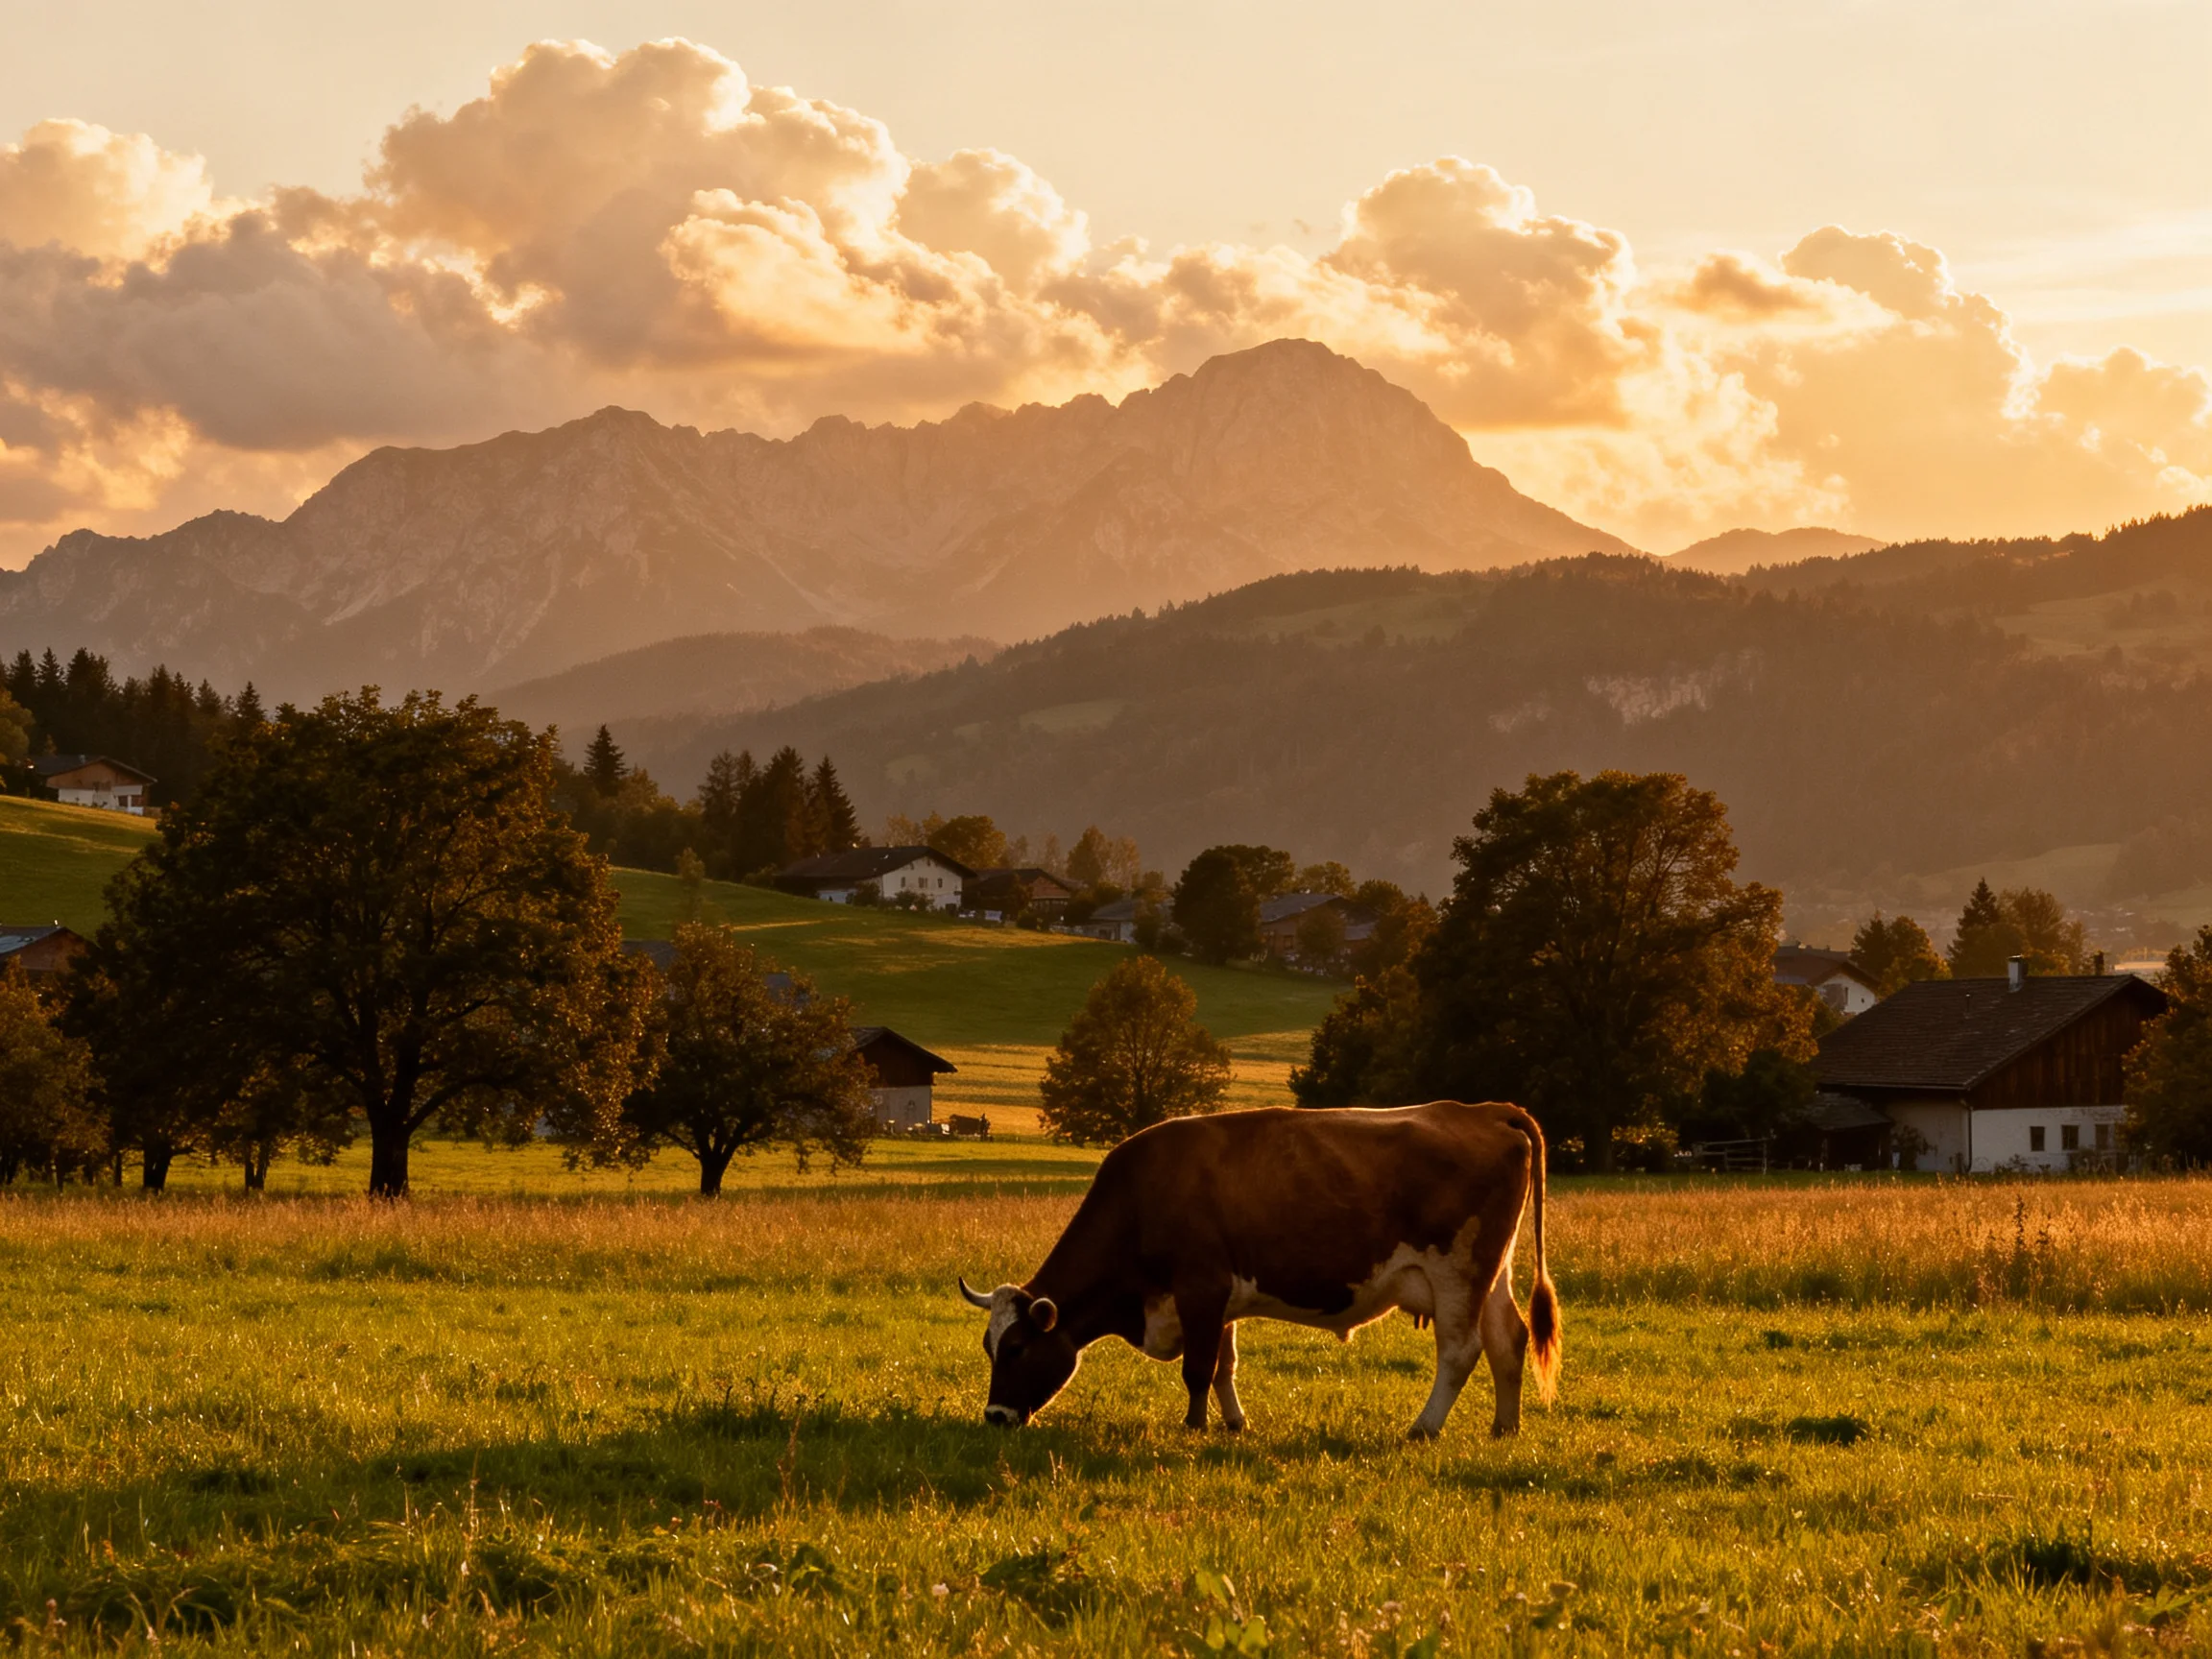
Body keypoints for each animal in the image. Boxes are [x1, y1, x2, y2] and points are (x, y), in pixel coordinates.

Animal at [958, 1099, 1559, 1439]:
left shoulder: (1200, 1288)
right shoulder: (1218, 1300)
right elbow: (1224, 1365)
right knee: (1508, 1339)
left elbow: (1198, 1369)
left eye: (1017, 1348)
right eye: (989, 1347)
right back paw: (1505, 1427)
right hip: (1492, 1271)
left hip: (1457, 1272)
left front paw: (1194, 1427)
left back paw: (1424, 1428)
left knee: (1460, 1351)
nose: (995, 1417)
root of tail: (1482, 1109)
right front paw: (1233, 1423)